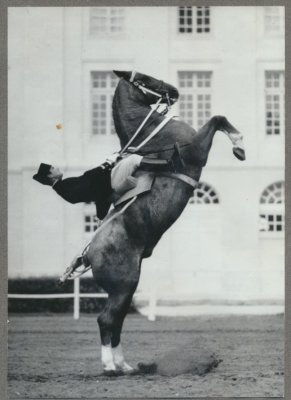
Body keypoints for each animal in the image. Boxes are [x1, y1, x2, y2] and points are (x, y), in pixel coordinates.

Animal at [87, 70, 246, 374]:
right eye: (145, 78)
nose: (173, 90)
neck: (153, 136)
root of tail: (89, 254)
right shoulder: (196, 149)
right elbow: (217, 118)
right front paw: (239, 146)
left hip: (127, 288)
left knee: (116, 322)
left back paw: (124, 365)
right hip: (123, 286)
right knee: (106, 320)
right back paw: (110, 366)